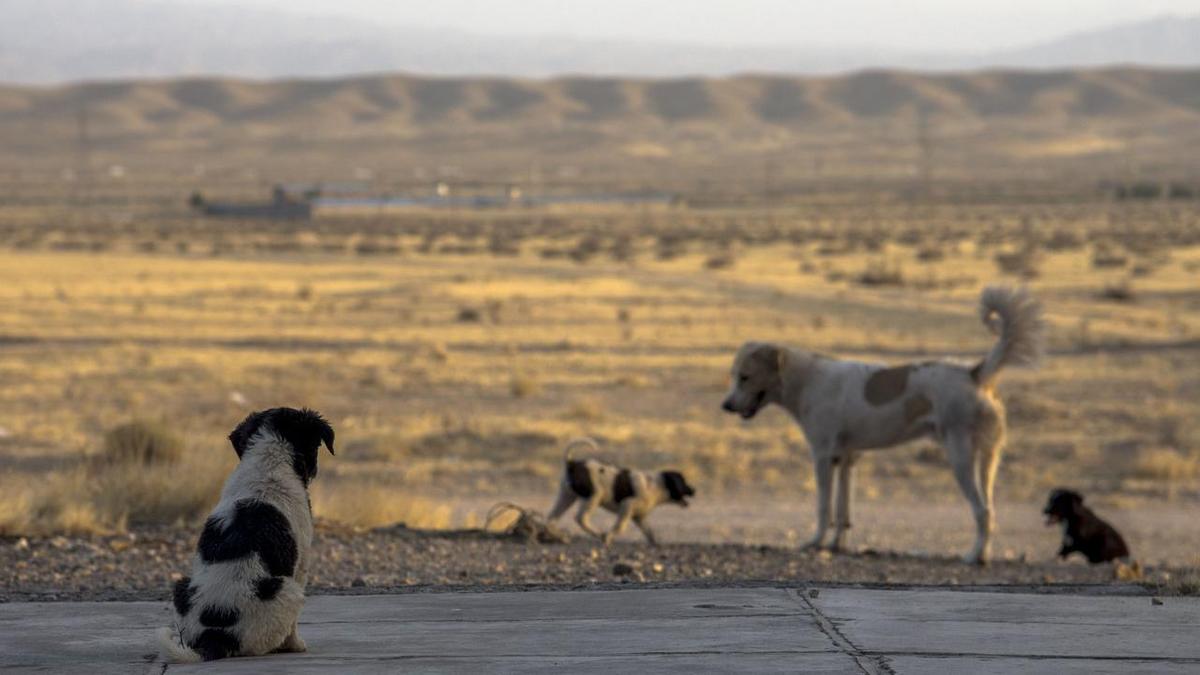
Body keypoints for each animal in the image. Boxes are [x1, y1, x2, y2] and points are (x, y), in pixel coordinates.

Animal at [157, 408, 333, 658]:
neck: (269, 463)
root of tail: (215, 637)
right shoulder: (301, 564)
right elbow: (293, 627)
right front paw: (296, 645)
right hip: (288, 591)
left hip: (181, 587)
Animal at [544, 432, 696, 542]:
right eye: (683, 482)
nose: (694, 490)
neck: (657, 485)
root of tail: (572, 463)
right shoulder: (627, 506)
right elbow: (620, 527)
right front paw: (608, 536)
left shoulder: (640, 517)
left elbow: (650, 532)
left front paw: (656, 543)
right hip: (593, 496)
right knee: (581, 518)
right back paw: (598, 533)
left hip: (566, 496)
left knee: (552, 517)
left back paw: (554, 533)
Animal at [720, 284, 1041, 562]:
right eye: (734, 375)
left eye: (745, 377)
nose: (726, 405)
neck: (806, 380)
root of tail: (974, 373)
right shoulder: (846, 459)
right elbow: (843, 511)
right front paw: (837, 545)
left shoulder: (823, 457)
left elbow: (823, 507)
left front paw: (815, 543)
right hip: (989, 458)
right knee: (991, 509)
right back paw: (983, 554)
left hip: (960, 456)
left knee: (982, 511)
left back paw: (974, 557)